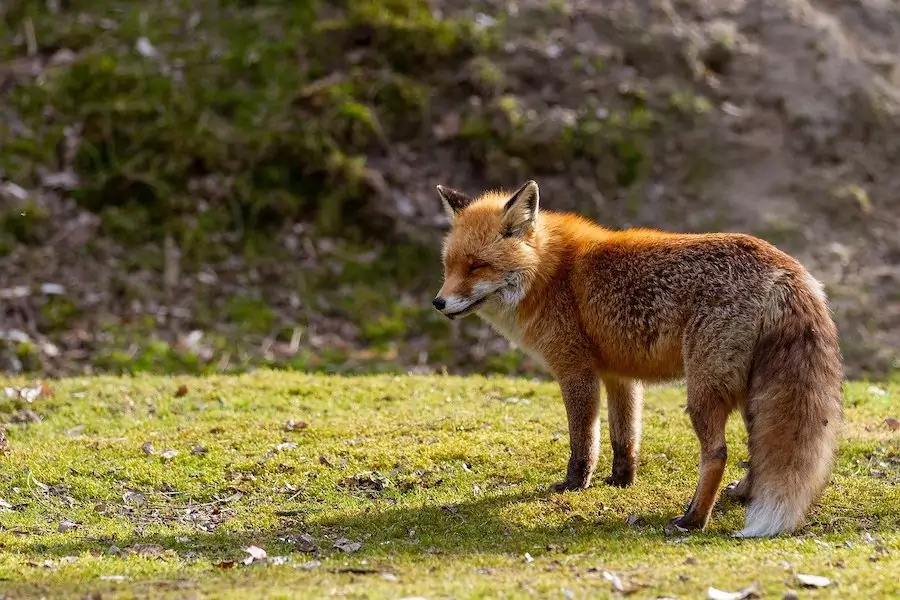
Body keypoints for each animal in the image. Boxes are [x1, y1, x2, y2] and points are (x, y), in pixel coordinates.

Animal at [428, 179, 844, 540]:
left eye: (476, 266)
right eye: (448, 266)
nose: (438, 302)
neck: (549, 273)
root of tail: (786, 267)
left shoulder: (575, 370)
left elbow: (584, 441)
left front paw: (574, 485)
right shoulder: (619, 375)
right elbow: (624, 436)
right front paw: (621, 481)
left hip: (703, 391)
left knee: (717, 453)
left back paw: (693, 519)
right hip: (751, 392)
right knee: (757, 450)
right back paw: (742, 494)